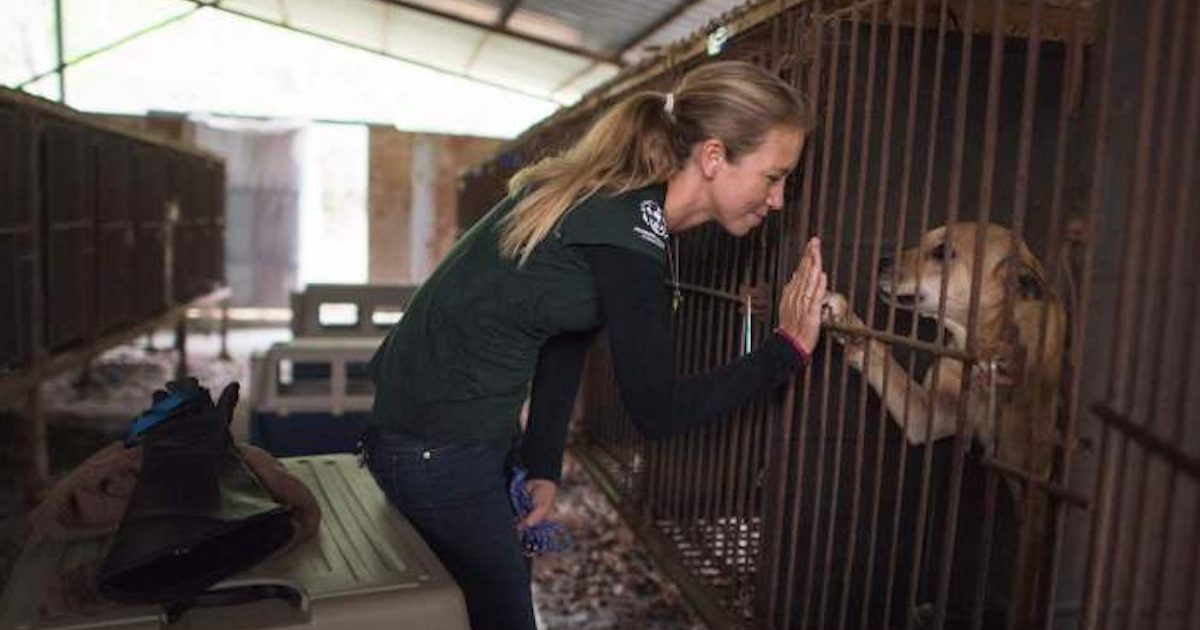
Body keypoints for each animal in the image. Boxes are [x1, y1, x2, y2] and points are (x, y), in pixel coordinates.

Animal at [825, 220, 1070, 619]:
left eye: (942, 252)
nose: (881, 260)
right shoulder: (926, 415)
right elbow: (881, 355)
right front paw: (847, 322)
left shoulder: (1033, 483)